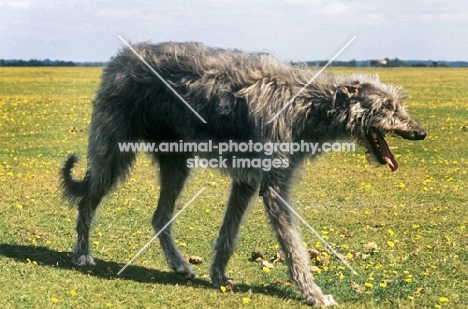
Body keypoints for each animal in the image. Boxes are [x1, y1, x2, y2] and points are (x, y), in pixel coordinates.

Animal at [60, 41, 426, 306]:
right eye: (387, 107)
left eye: (398, 104)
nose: (421, 132)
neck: (307, 103)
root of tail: (121, 58)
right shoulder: (273, 187)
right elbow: (293, 246)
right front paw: (312, 293)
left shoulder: (246, 179)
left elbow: (229, 232)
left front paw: (218, 275)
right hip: (114, 151)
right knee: (88, 200)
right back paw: (82, 253)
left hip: (176, 161)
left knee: (160, 214)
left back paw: (179, 264)